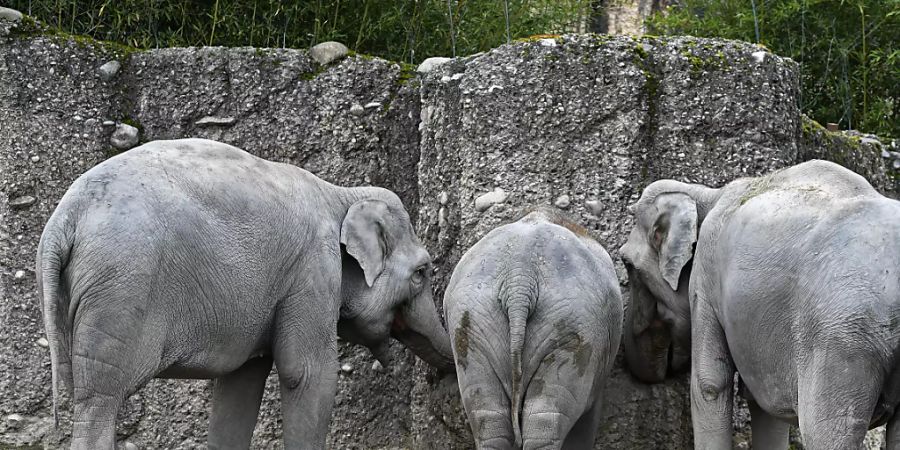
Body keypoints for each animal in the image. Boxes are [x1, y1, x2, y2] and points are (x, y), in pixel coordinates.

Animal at [37, 138, 454, 450]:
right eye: (422, 273)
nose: (440, 380)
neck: (340, 194)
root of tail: (65, 217)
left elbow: (240, 384)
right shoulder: (312, 270)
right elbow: (306, 373)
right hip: (120, 286)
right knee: (101, 399)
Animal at [620, 160, 900, 448]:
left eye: (627, 263)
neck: (709, 195)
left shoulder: (706, 276)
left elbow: (710, 383)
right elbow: (764, 402)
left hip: (843, 338)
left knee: (825, 430)